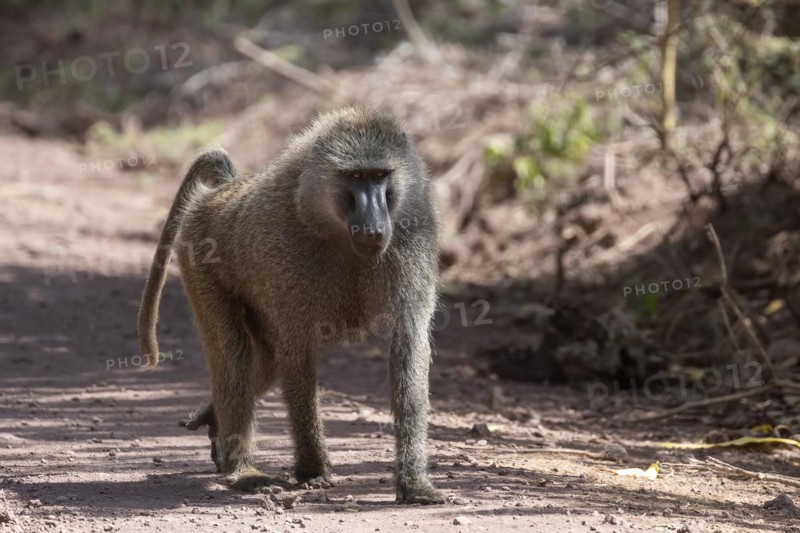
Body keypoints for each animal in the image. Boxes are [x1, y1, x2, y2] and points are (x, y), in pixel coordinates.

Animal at [138, 107, 444, 504]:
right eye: (355, 176)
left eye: (380, 176)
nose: (375, 227)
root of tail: (224, 191)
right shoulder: (285, 256)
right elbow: (297, 355)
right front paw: (313, 469)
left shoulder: (414, 235)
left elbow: (407, 348)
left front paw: (414, 483)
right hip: (197, 257)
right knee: (233, 351)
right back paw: (244, 470)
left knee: (266, 362)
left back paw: (214, 421)